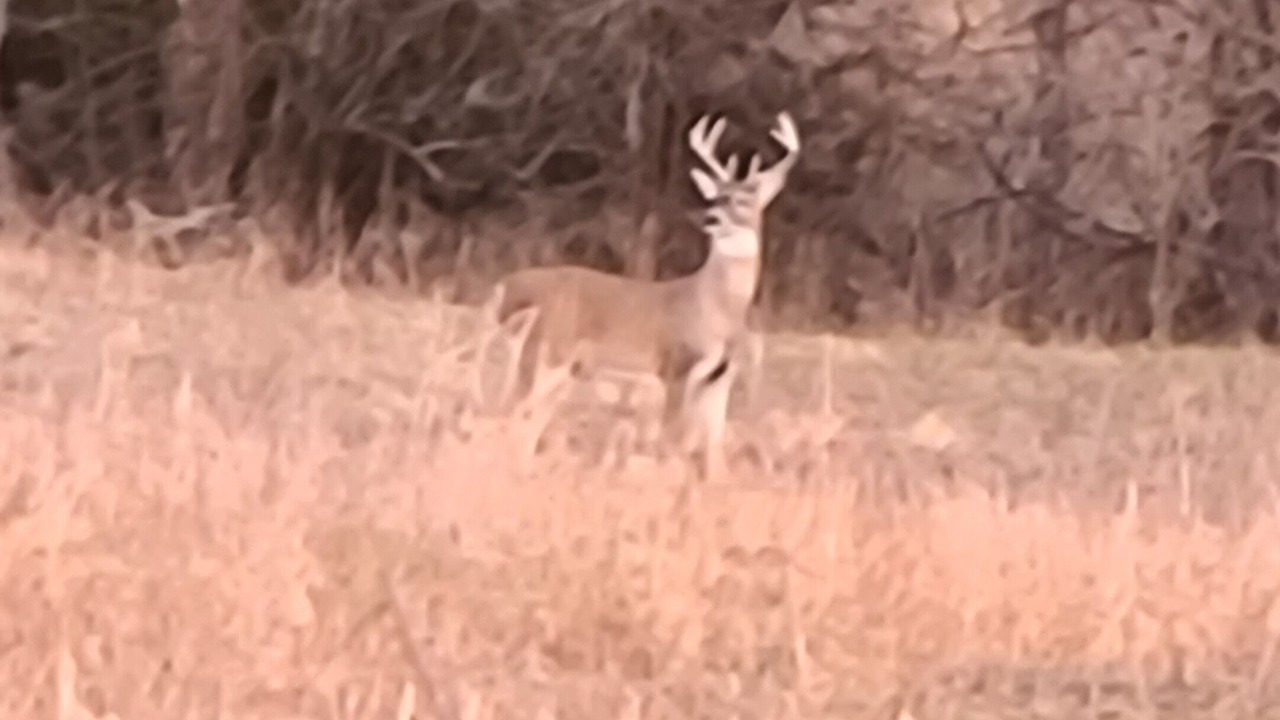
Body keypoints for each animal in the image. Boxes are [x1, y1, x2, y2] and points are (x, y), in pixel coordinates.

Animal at [491, 111, 801, 480]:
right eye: (714, 197)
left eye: (743, 200)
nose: (710, 218)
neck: (713, 308)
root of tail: (505, 288)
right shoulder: (675, 366)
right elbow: (672, 438)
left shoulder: (721, 377)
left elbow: (714, 447)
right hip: (545, 351)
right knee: (512, 412)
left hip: (558, 367)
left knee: (528, 419)